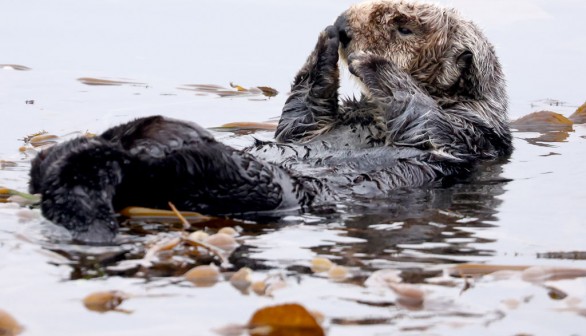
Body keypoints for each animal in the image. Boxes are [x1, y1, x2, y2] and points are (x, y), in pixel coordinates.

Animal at [29, 0, 508, 242]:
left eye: (404, 28)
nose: (345, 26)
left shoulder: (466, 132)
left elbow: (425, 122)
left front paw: (372, 61)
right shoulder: (307, 124)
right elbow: (299, 117)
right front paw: (325, 42)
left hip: (238, 179)